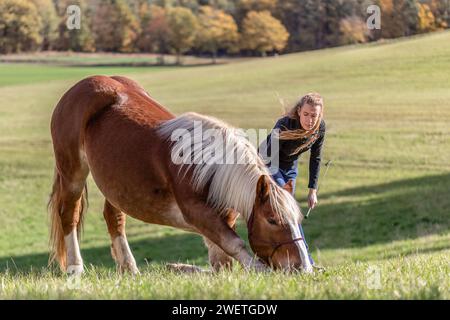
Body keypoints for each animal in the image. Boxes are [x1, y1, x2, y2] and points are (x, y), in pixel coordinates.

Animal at [46, 75, 312, 276]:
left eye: (297, 220)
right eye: (273, 220)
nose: (302, 268)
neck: (207, 171)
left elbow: (222, 261)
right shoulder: (196, 212)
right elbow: (233, 245)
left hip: (113, 183)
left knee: (114, 217)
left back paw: (129, 268)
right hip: (72, 172)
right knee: (69, 213)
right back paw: (75, 269)